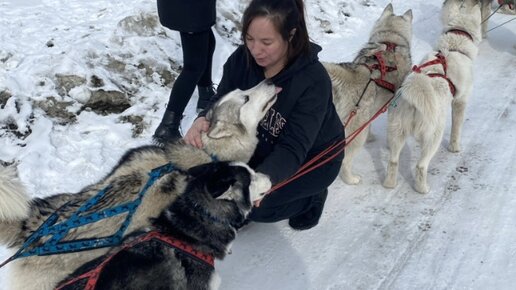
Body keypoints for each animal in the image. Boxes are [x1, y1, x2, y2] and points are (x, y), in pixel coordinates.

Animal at [380, 0, 482, 195]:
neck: (454, 47)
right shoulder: (460, 101)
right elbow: (457, 128)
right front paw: (455, 148)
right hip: (433, 137)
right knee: (421, 166)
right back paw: (423, 189)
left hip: (397, 132)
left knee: (393, 161)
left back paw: (389, 183)